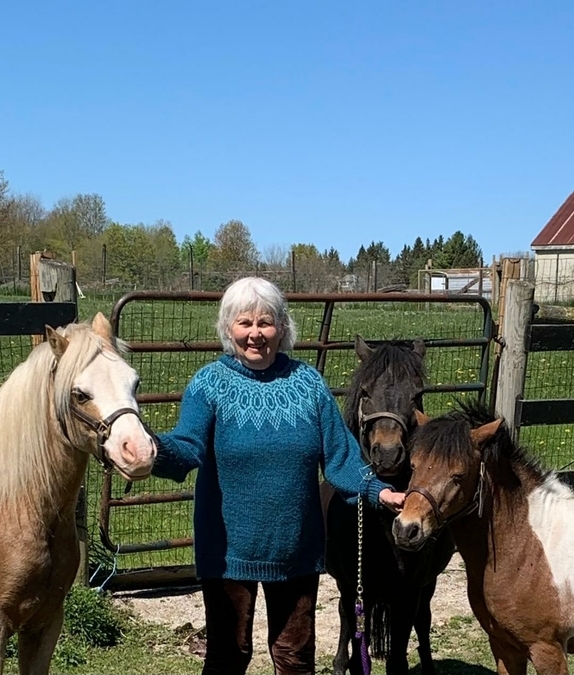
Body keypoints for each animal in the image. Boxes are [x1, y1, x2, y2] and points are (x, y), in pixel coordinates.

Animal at [326, 338, 456, 675]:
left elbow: (398, 657)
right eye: (366, 392)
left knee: (424, 620)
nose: (387, 454)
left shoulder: (408, 592)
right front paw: (346, 662)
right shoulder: (353, 587)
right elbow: (357, 648)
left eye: (417, 394)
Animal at [394, 404, 574, 672]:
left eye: (459, 475)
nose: (407, 529)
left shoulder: (547, 651)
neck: (527, 549)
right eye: (413, 466)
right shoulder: (505, 647)